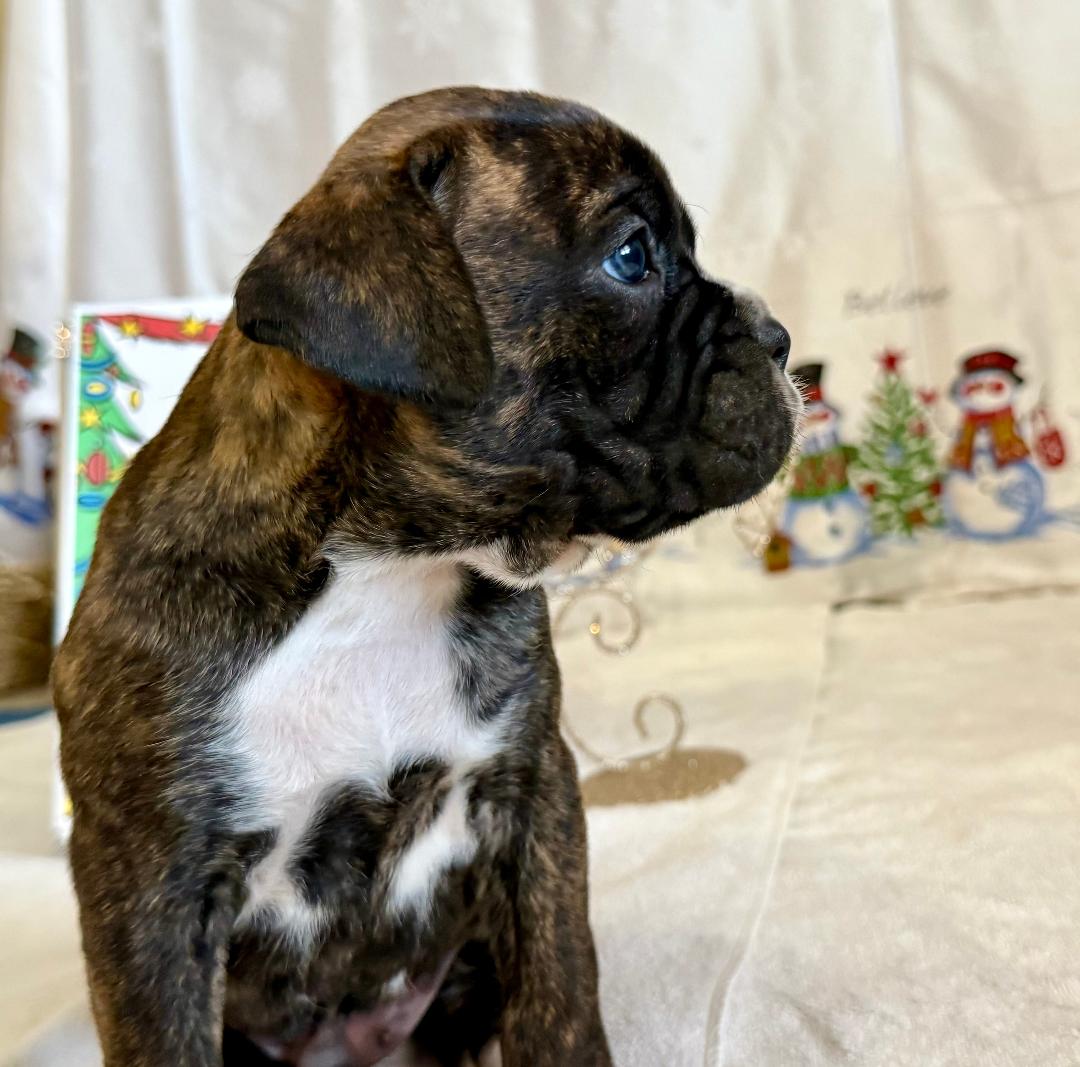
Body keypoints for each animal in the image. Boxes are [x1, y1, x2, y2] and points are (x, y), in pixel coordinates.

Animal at [53, 87, 799, 1067]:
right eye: (631, 256)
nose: (780, 338)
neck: (386, 568)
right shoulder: (154, 885)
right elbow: (165, 1036)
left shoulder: (532, 798)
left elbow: (560, 989)